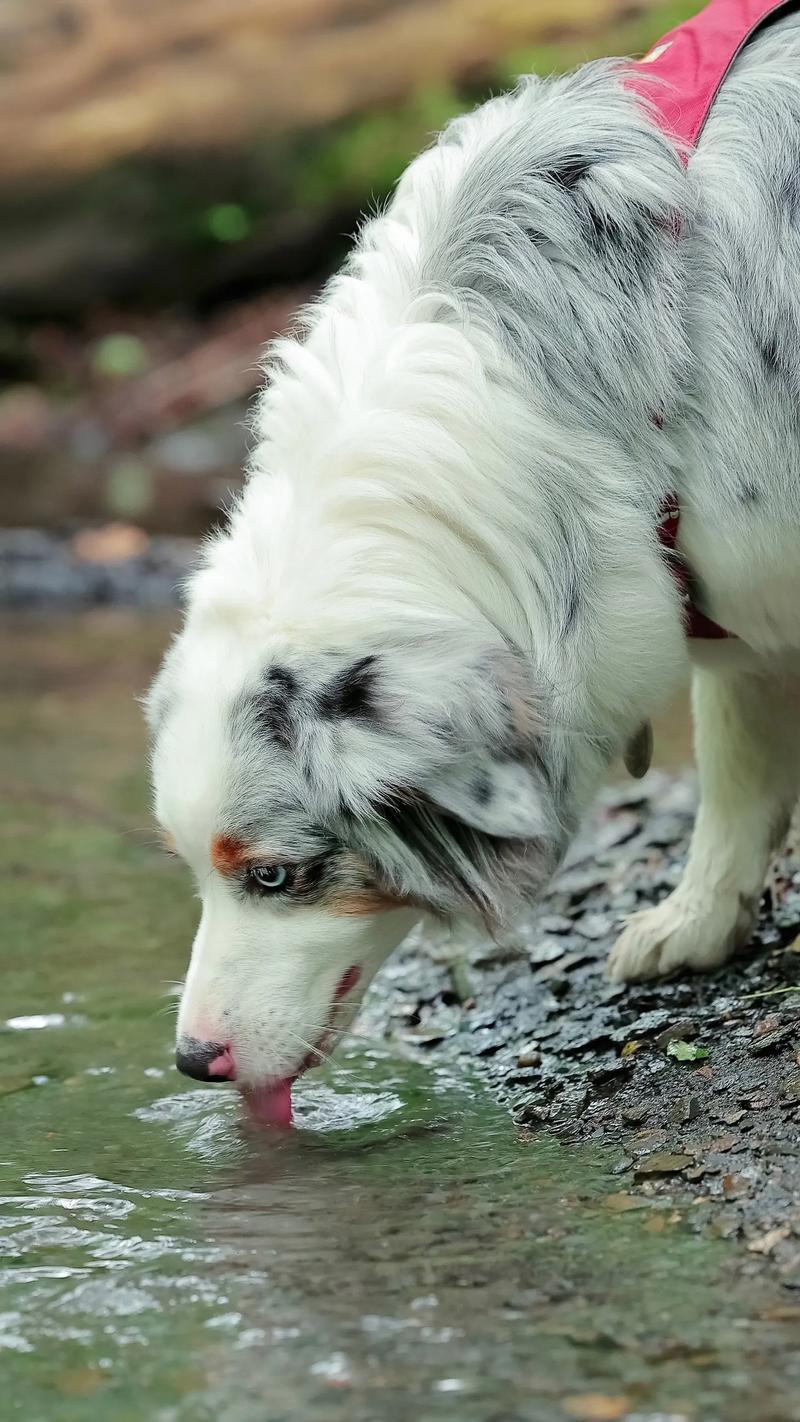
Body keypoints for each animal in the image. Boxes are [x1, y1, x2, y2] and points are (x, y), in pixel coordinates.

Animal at [147, 13, 800, 1120]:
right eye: (190, 866)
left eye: (276, 877)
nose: (195, 1060)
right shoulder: (717, 596)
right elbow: (738, 767)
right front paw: (696, 921)